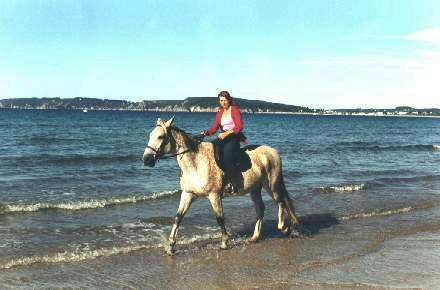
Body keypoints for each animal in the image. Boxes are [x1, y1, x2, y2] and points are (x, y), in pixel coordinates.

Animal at [142, 117, 300, 254]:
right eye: (150, 135)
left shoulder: (214, 195)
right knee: (261, 208)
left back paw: (284, 228)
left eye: (161, 137)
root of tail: (273, 151)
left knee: (281, 202)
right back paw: (255, 237)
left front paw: (224, 242)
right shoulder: (188, 194)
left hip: (271, 184)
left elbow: (219, 217)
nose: (146, 160)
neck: (196, 163)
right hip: (255, 188)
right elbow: (178, 217)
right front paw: (170, 246)